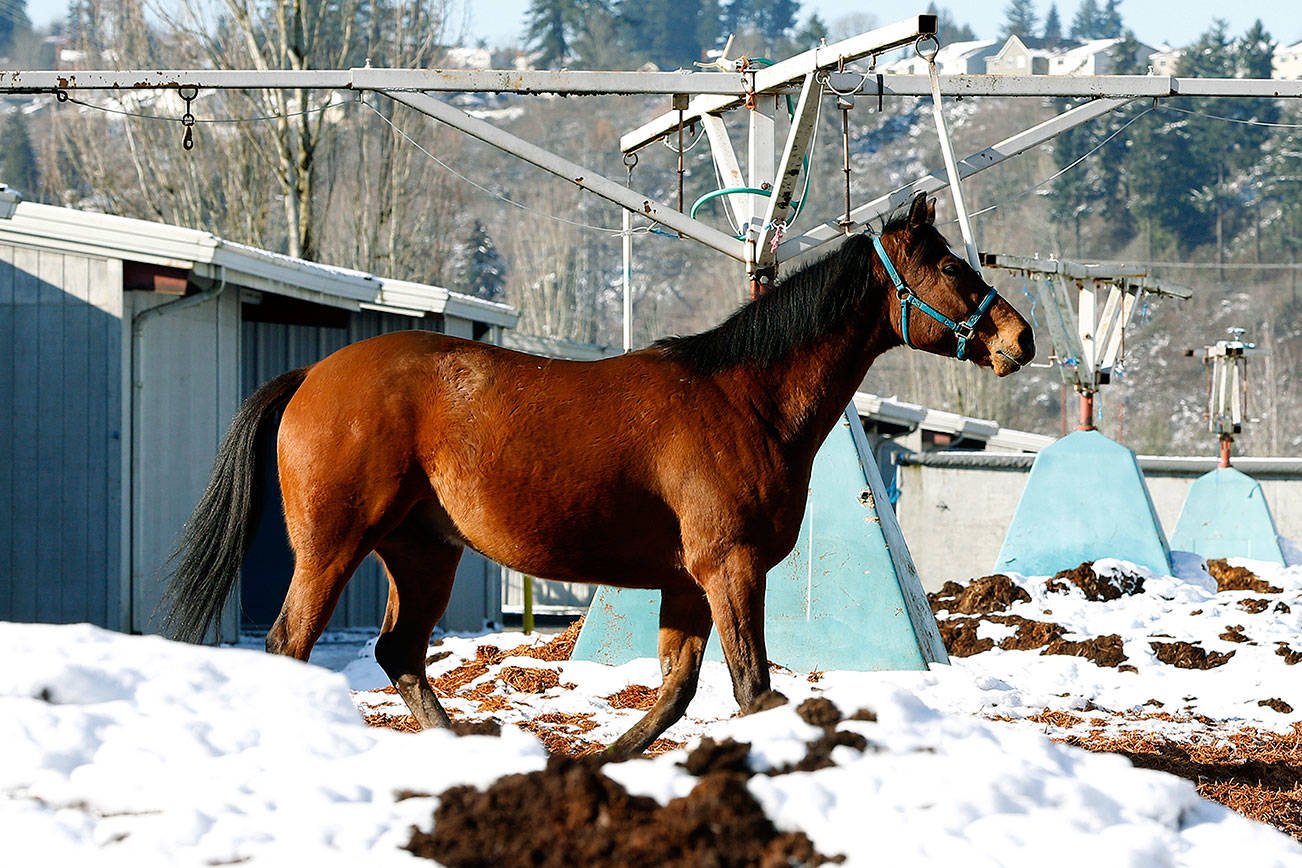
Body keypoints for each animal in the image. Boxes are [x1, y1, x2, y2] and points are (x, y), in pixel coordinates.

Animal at [165, 193, 1036, 754]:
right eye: (950, 267)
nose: (1018, 338)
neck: (743, 396)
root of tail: (311, 376)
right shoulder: (731, 568)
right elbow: (753, 690)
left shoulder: (687, 582)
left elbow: (675, 695)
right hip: (333, 546)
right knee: (290, 643)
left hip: (423, 553)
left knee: (400, 655)